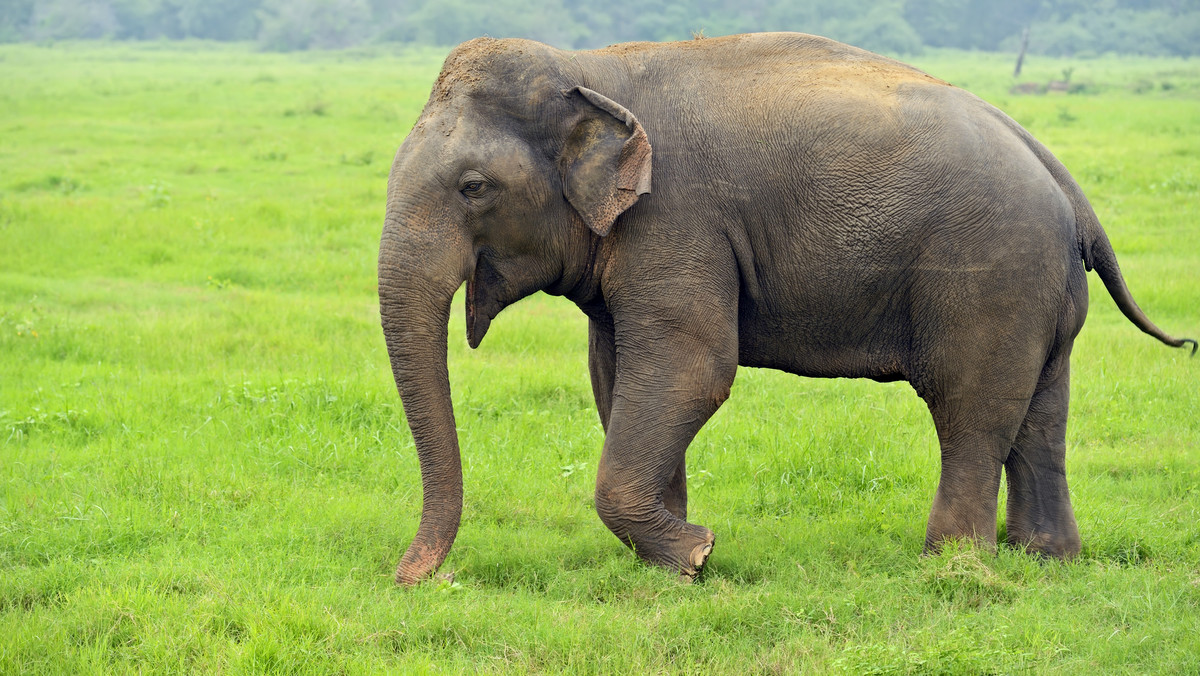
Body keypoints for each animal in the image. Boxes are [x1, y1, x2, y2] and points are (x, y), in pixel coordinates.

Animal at [379, 31, 1195, 583]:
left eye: (473, 187)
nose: (416, 578)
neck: (591, 66)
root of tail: (1062, 179)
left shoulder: (678, 218)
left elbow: (692, 369)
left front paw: (697, 555)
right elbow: (615, 375)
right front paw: (675, 559)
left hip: (989, 276)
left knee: (972, 407)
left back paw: (951, 565)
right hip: (1040, 289)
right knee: (1041, 412)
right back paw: (1046, 560)